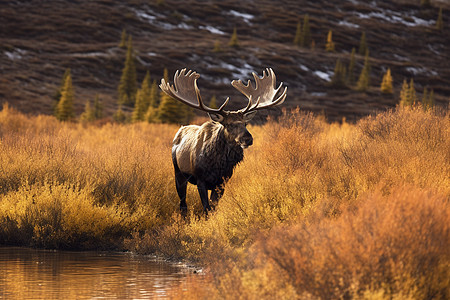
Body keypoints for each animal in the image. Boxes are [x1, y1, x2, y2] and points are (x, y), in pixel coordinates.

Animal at [161, 68, 288, 213]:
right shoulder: (200, 180)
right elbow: (206, 208)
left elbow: (213, 208)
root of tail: (179, 131)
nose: (248, 138)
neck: (218, 164)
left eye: (245, 124)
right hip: (178, 173)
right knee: (182, 203)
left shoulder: (222, 182)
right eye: (228, 125)